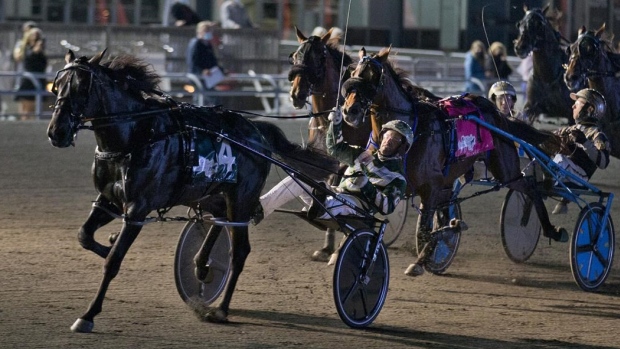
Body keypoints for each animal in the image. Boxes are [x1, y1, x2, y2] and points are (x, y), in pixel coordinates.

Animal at [340, 47, 568, 274]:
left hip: (505, 169)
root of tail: (495, 112)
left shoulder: (431, 186)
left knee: (530, 187)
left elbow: (425, 228)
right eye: (353, 73)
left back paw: (552, 229)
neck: (409, 131)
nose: (349, 111)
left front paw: (420, 261)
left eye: (372, 77)